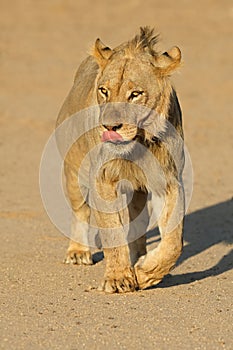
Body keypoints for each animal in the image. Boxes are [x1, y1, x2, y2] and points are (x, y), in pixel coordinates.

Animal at [56, 26, 184, 292]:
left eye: (135, 94)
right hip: (73, 173)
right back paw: (78, 252)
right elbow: (112, 231)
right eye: (104, 91)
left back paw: (138, 256)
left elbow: (173, 242)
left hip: (138, 193)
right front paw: (118, 278)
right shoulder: (102, 179)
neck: (138, 143)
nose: (109, 126)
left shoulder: (168, 181)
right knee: (80, 211)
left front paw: (145, 273)